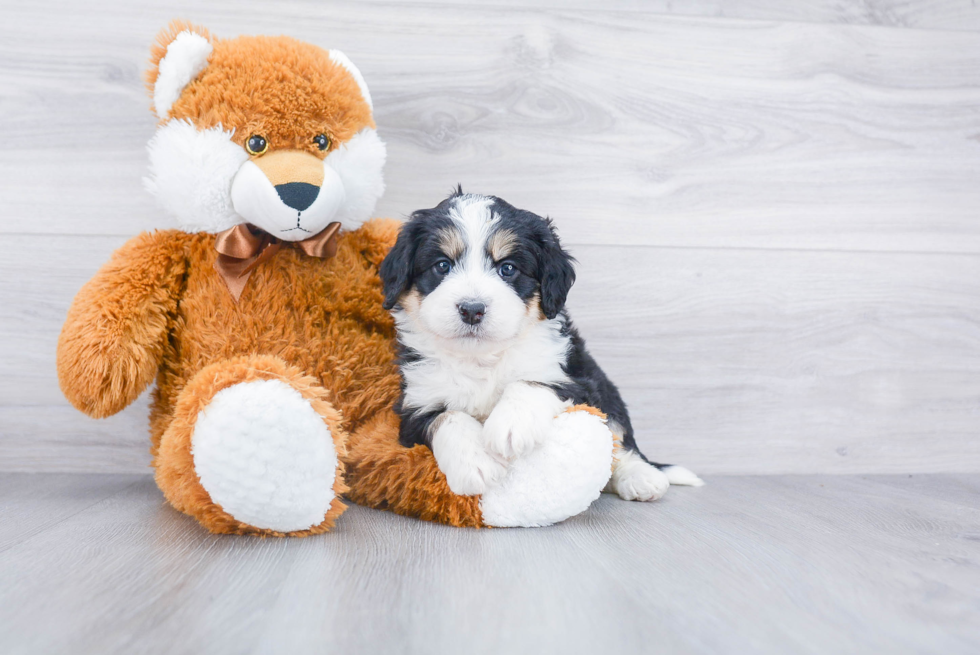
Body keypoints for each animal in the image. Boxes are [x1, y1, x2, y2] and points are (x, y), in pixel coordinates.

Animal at [378, 190, 700, 502]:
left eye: (508, 268)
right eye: (442, 265)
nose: (472, 309)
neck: (482, 358)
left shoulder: (574, 379)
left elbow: (530, 382)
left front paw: (510, 426)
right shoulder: (415, 404)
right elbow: (448, 417)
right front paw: (475, 463)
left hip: (606, 391)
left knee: (619, 440)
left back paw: (641, 477)